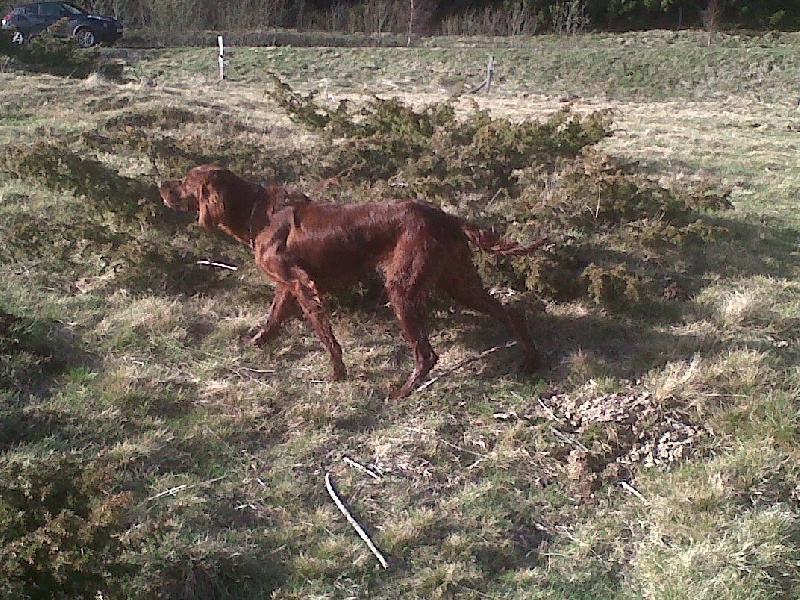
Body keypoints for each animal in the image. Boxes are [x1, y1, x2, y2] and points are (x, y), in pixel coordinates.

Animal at [158, 164, 544, 398]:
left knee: (427, 353)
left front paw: (337, 374)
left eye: (185, 182)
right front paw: (256, 342)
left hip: (402, 289)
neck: (255, 213)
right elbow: (272, 318)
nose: (161, 185)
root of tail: (445, 216)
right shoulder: (287, 286)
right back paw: (530, 361)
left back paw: (402, 392)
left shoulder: (302, 284)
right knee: (511, 312)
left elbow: (325, 336)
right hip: (459, 282)